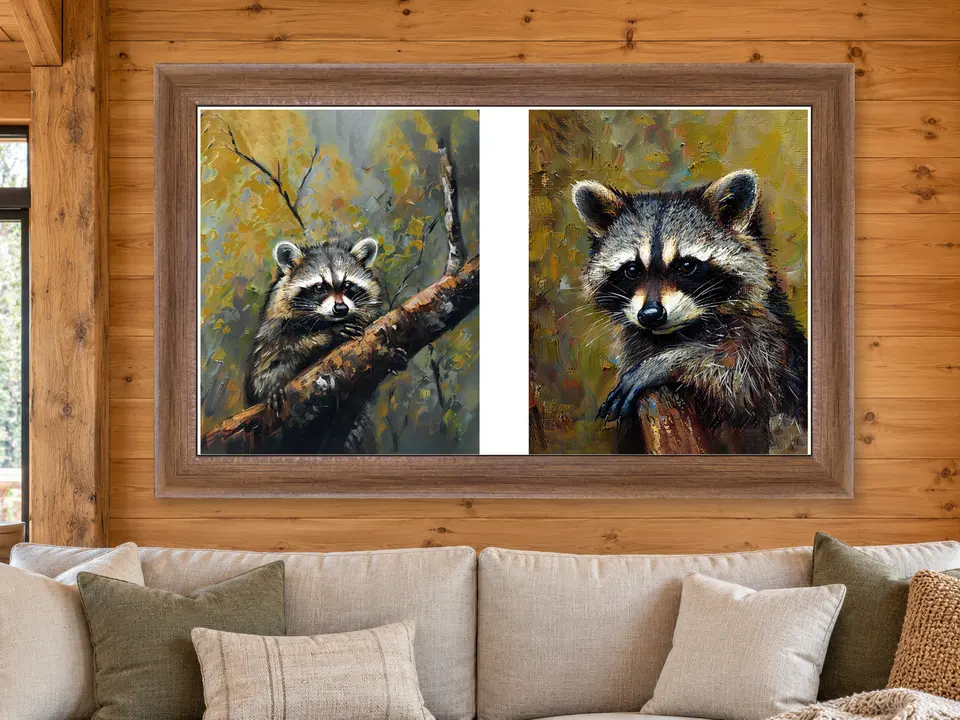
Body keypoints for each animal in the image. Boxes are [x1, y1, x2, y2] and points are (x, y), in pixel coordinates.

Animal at [245, 236, 385, 453]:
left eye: (347, 285)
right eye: (319, 287)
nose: (341, 309)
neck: (323, 321)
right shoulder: (274, 330)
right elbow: (273, 359)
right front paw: (329, 336)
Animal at [574, 169, 808, 454]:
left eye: (686, 266)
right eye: (632, 270)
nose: (651, 315)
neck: (677, 333)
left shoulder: (769, 338)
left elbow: (745, 377)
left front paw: (668, 362)